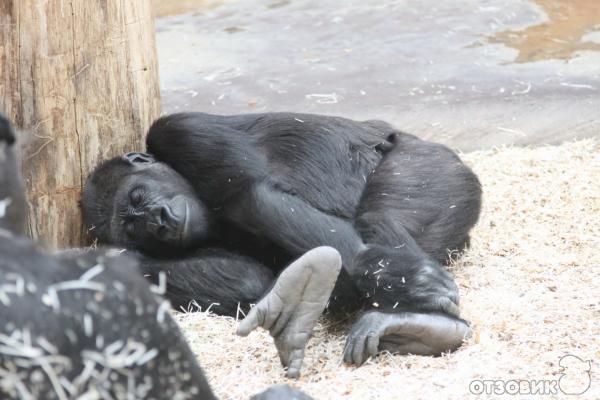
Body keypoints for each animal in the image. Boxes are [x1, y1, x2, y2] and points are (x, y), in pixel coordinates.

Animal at [82, 111, 480, 376]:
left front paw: (407, 281)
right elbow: (248, 279)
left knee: (382, 213)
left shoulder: (182, 133)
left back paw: (425, 319)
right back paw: (417, 329)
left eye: (137, 196)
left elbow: (250, 195)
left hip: (436, 167)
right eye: (132, 227)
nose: (159, 219)